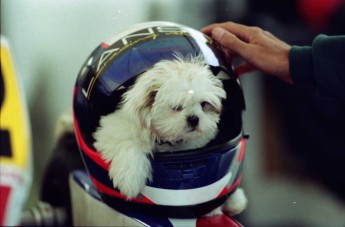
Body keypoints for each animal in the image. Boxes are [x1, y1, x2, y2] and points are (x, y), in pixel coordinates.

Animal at [92, 54, 246, 215]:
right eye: (177, 107)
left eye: (204, 104)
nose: (194, 119)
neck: (167, 139)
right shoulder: (111, 129)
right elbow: (128, 144)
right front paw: (130, 178)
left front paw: (231, 200)